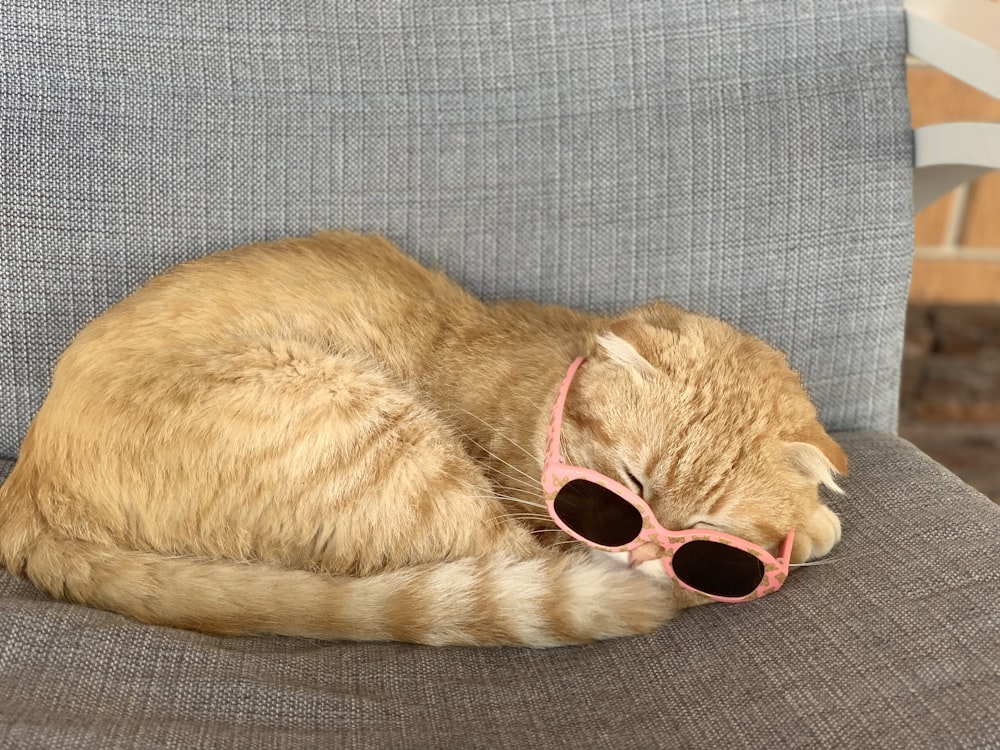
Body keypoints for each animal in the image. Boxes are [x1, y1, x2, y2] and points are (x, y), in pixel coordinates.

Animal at [0, 232, 848, 648]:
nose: (646, 552)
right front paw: (799, 536)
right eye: (628, 489)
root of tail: (26, 493)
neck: (544, 390)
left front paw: (806, 520)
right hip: (376, 439)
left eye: (702, 526)